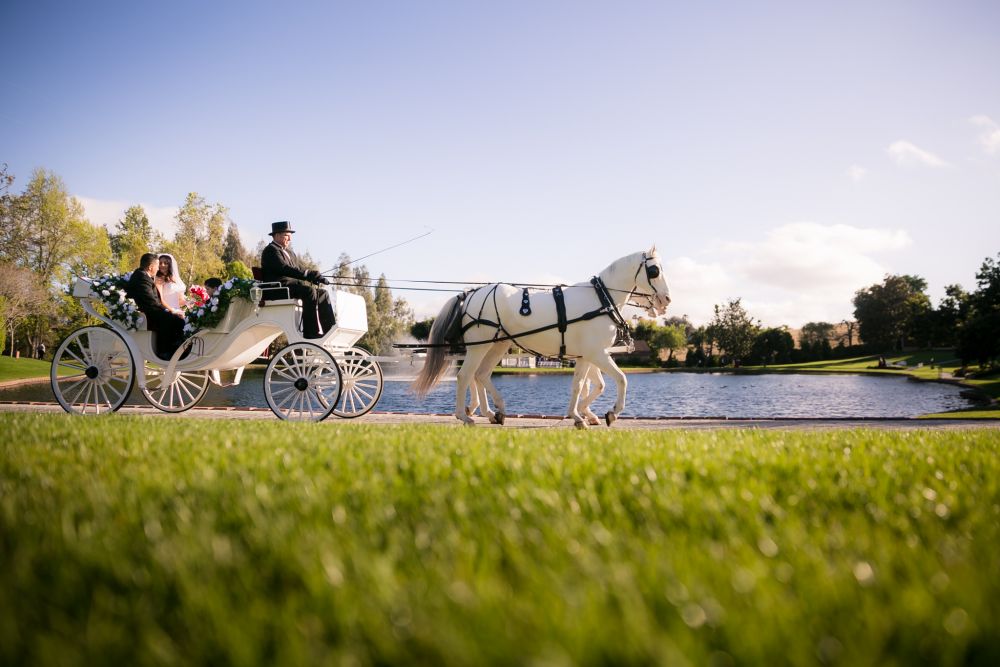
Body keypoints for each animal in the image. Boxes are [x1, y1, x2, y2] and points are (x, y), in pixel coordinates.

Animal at [410, 249, 676, 428]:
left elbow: (583, 385)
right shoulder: (597, 353)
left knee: (481, 374)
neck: (601, 299)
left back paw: (496, 412)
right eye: (654, 271)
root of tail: (471, 293)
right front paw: (611, 413)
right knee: (465, 376)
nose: (666, 300)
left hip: (498, 344)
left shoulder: (587, 355)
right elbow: (621, 379)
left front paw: (580, 415)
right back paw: (465, 416)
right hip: (479, 346)